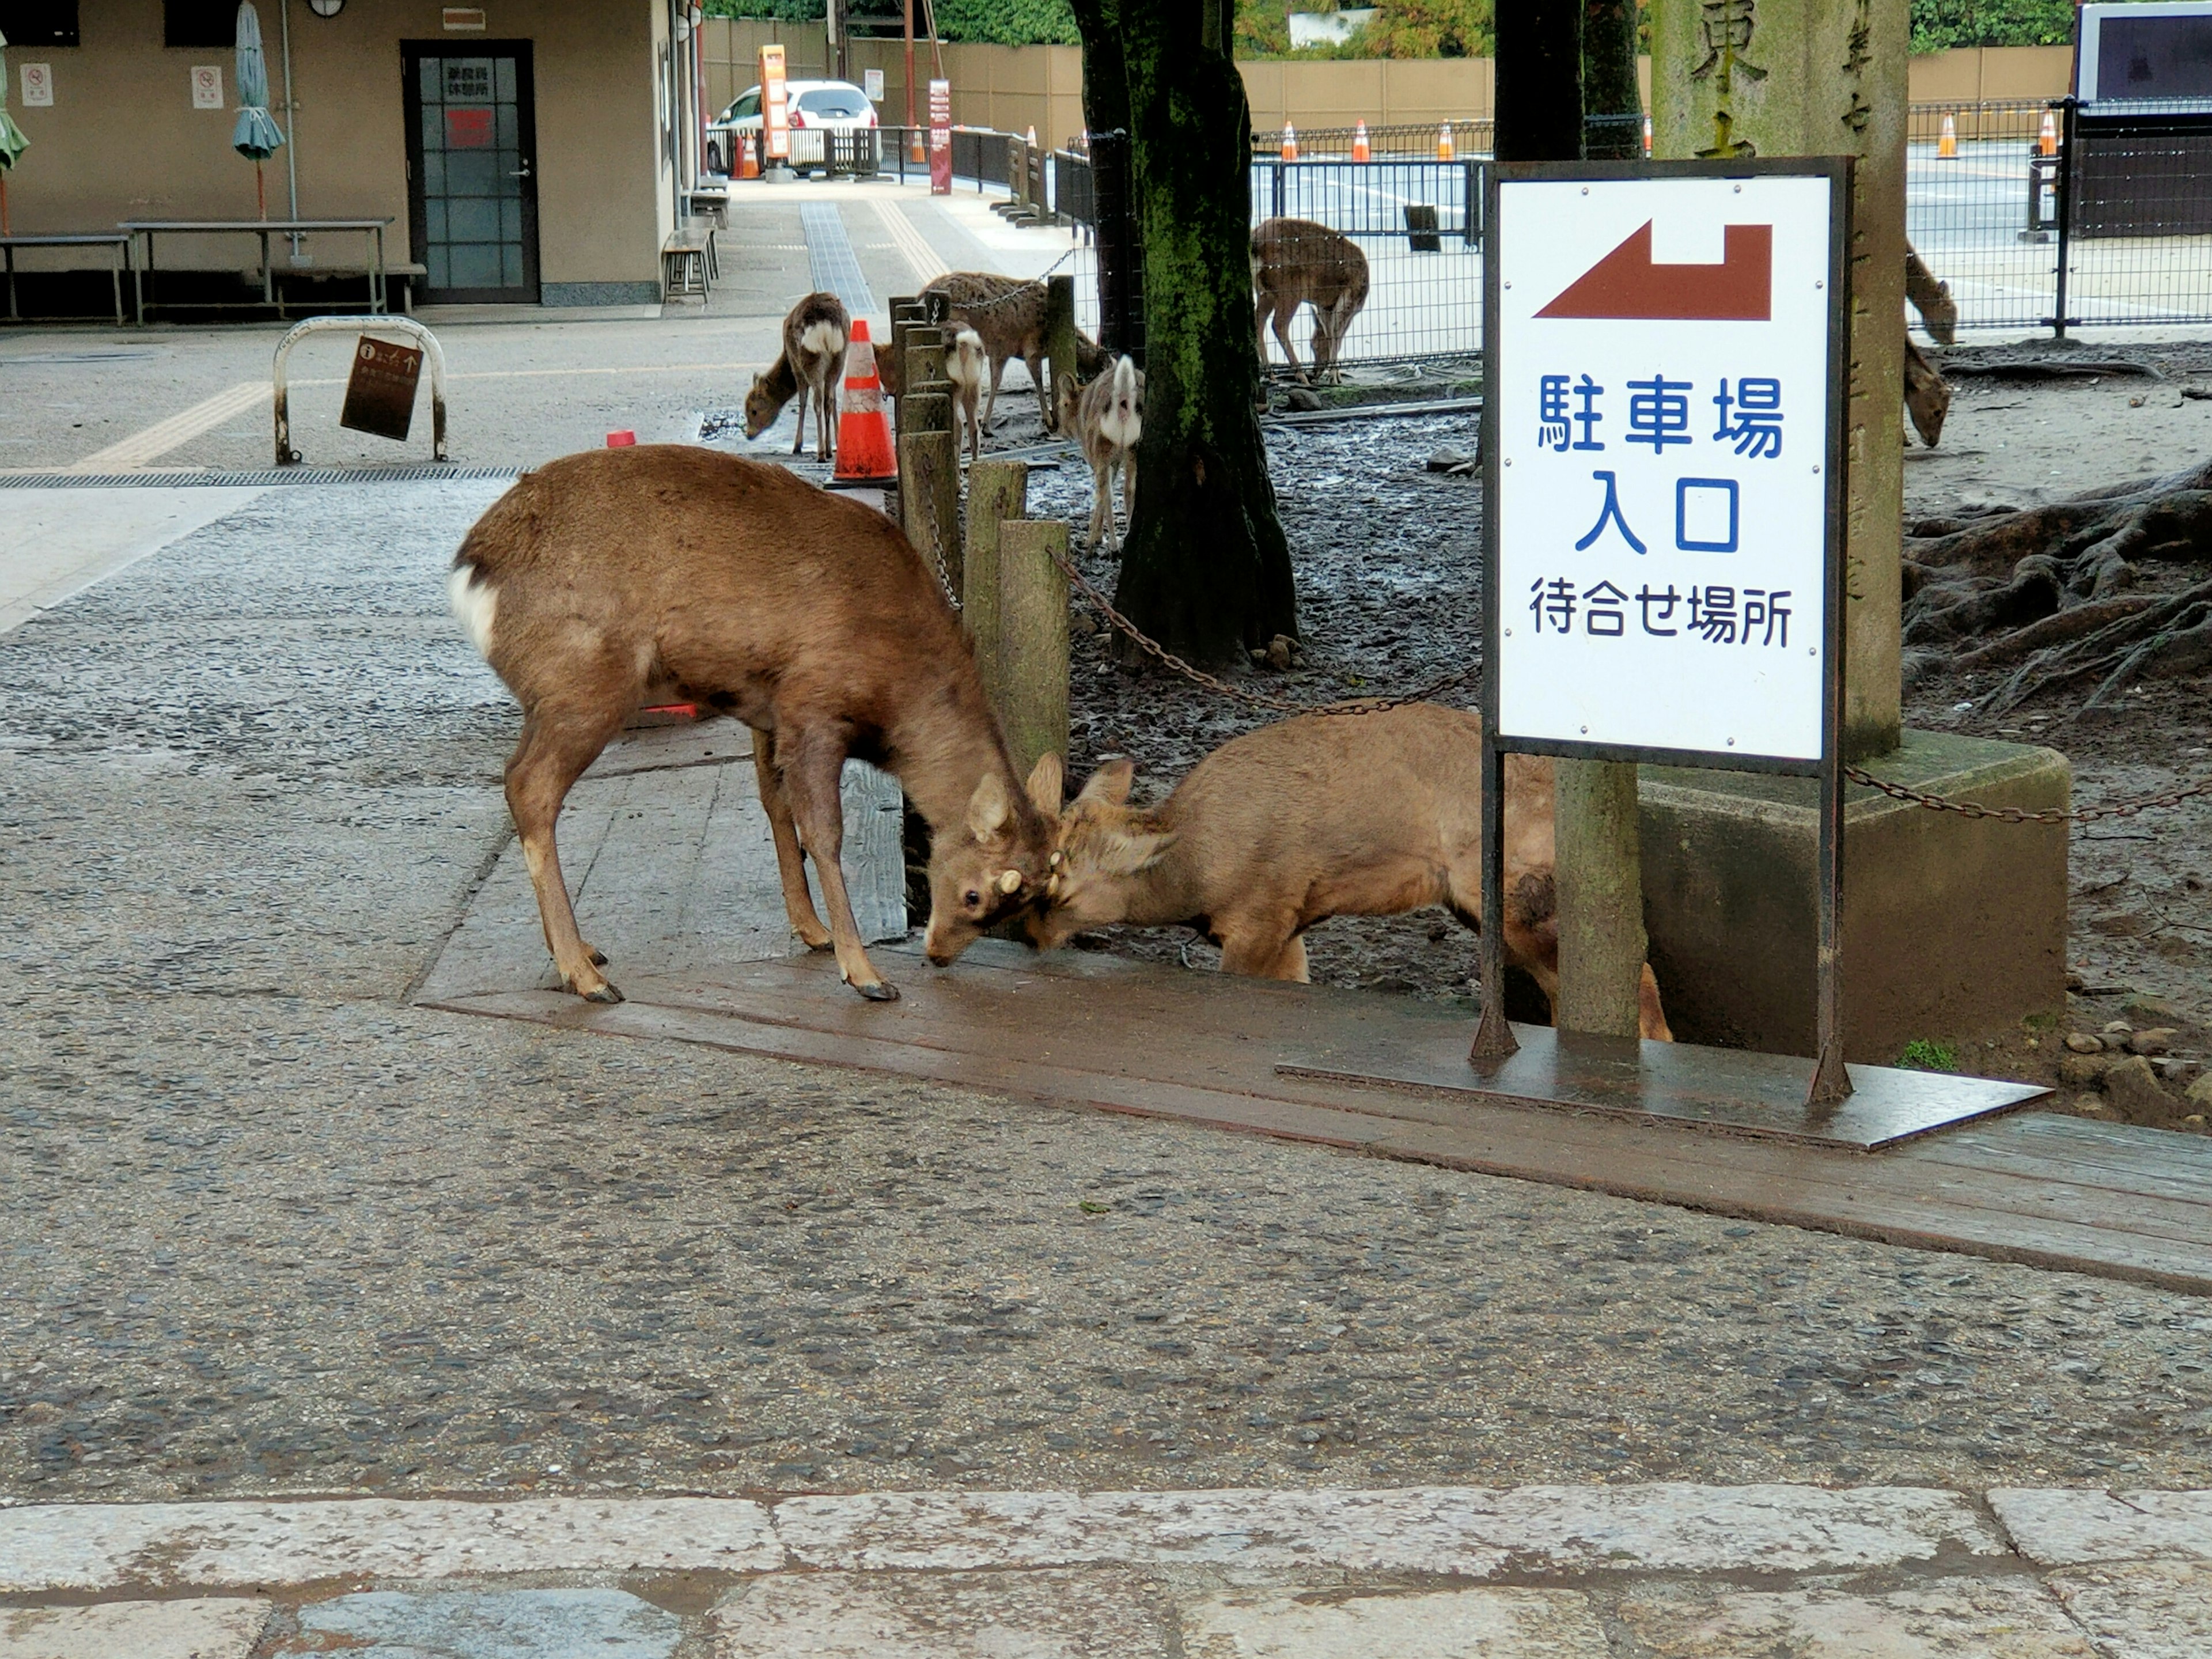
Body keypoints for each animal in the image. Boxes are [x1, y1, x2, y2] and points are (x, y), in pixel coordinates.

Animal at [449, 442, 1052, 1009]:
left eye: (1022, 902)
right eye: (977, 895)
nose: (939, 954)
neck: (901, 691)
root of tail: (471, 571)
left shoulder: (768, 709)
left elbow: (776, 806)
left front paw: (812, 929)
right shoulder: (813, 703)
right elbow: (824, 832)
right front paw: (863, 972)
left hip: (555, 695)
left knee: (520, 780)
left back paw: (579, 952)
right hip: (585, 680)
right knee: (530, 786)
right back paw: (586, 976)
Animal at [743, 290, 844, 462]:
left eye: (753, 411)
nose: (748, 435)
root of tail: (826, 325)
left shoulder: (796, 366)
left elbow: (802, 401)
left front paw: (797, 446)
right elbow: (834, 399)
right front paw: (836, 443)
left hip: (811, 359)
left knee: (817, 401)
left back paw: (821, 453)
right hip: (840, 358)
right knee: (829, 400)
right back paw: (829, 449)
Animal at [1026, 707, 1663, 1044]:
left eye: (1058, 879)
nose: (1029, 934)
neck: (1198, 879)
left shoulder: (1263, 911)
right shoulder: (1288, 925)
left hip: (1518, 887)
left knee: (1634, 970)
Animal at [1062, 354, 1150, 555]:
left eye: (1063, 404)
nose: (1059, 429)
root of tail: (1124, 397)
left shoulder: (1093, 456)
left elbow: (1099, 494)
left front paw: (1092, 539)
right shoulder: (1115, 461)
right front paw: (1096, 537)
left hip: (1100, 445)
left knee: (1108, 494)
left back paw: (1113, 546)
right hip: (1133, 447)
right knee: (1129, 490)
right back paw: (1126, 537)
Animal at [1256, 218, 1371, 387]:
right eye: (1313, 346)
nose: (1315, 373)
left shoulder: (1325, 307)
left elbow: (1331, 334)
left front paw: (1336, 376)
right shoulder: (1348, 298)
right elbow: (1336, 336)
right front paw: (1334, 378)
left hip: (1265, 292)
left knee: (1259, 322)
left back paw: (1271, 375)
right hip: (1290, 288)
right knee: (1278, 325)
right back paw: (1301, 376)